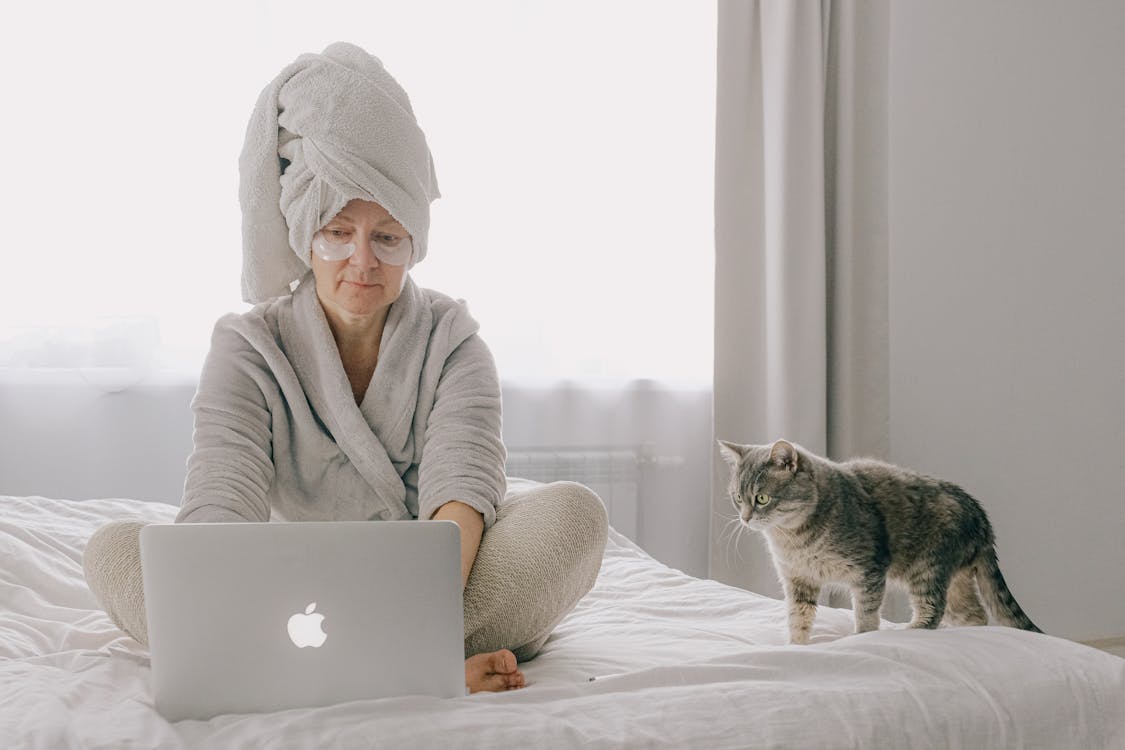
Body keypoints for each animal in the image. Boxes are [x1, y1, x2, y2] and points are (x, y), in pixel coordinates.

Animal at [715, 440, 1039, 647]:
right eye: (738, 498)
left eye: (762, 498)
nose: (745, 518)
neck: (793, 540)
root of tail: (981, 517)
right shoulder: (798, 581)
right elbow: (798, 619)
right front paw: (795, 646)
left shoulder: (868, 571)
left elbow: (867, 615)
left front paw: (861, 637)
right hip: (955, 581)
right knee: (975, 616)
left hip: (927, 568)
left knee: (933, 610)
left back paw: (913, 630)